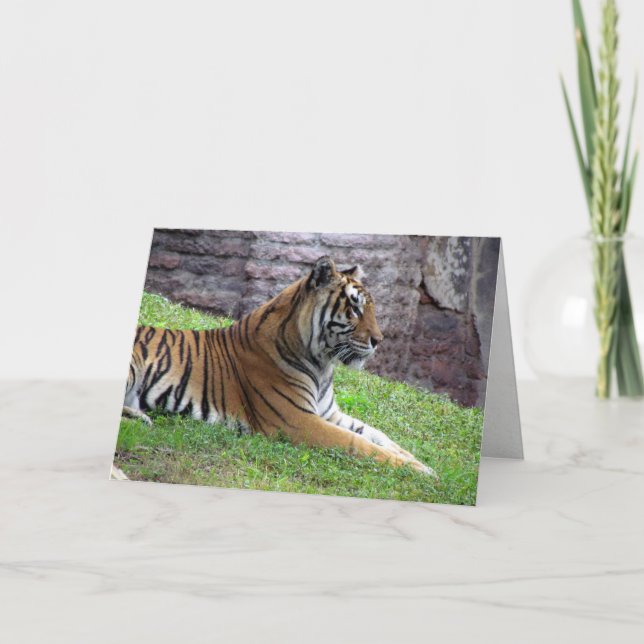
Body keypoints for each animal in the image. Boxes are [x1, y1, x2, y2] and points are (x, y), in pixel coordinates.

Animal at [122, 256, 435, 476]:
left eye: (371, 308)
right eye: (355, 308)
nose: (378, 340)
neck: (323, 364)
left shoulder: (329, 413)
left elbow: (379, 435)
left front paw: (422, 463)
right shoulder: (299, 420)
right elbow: (358, 443)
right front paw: (417, 470)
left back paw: (141, 417)